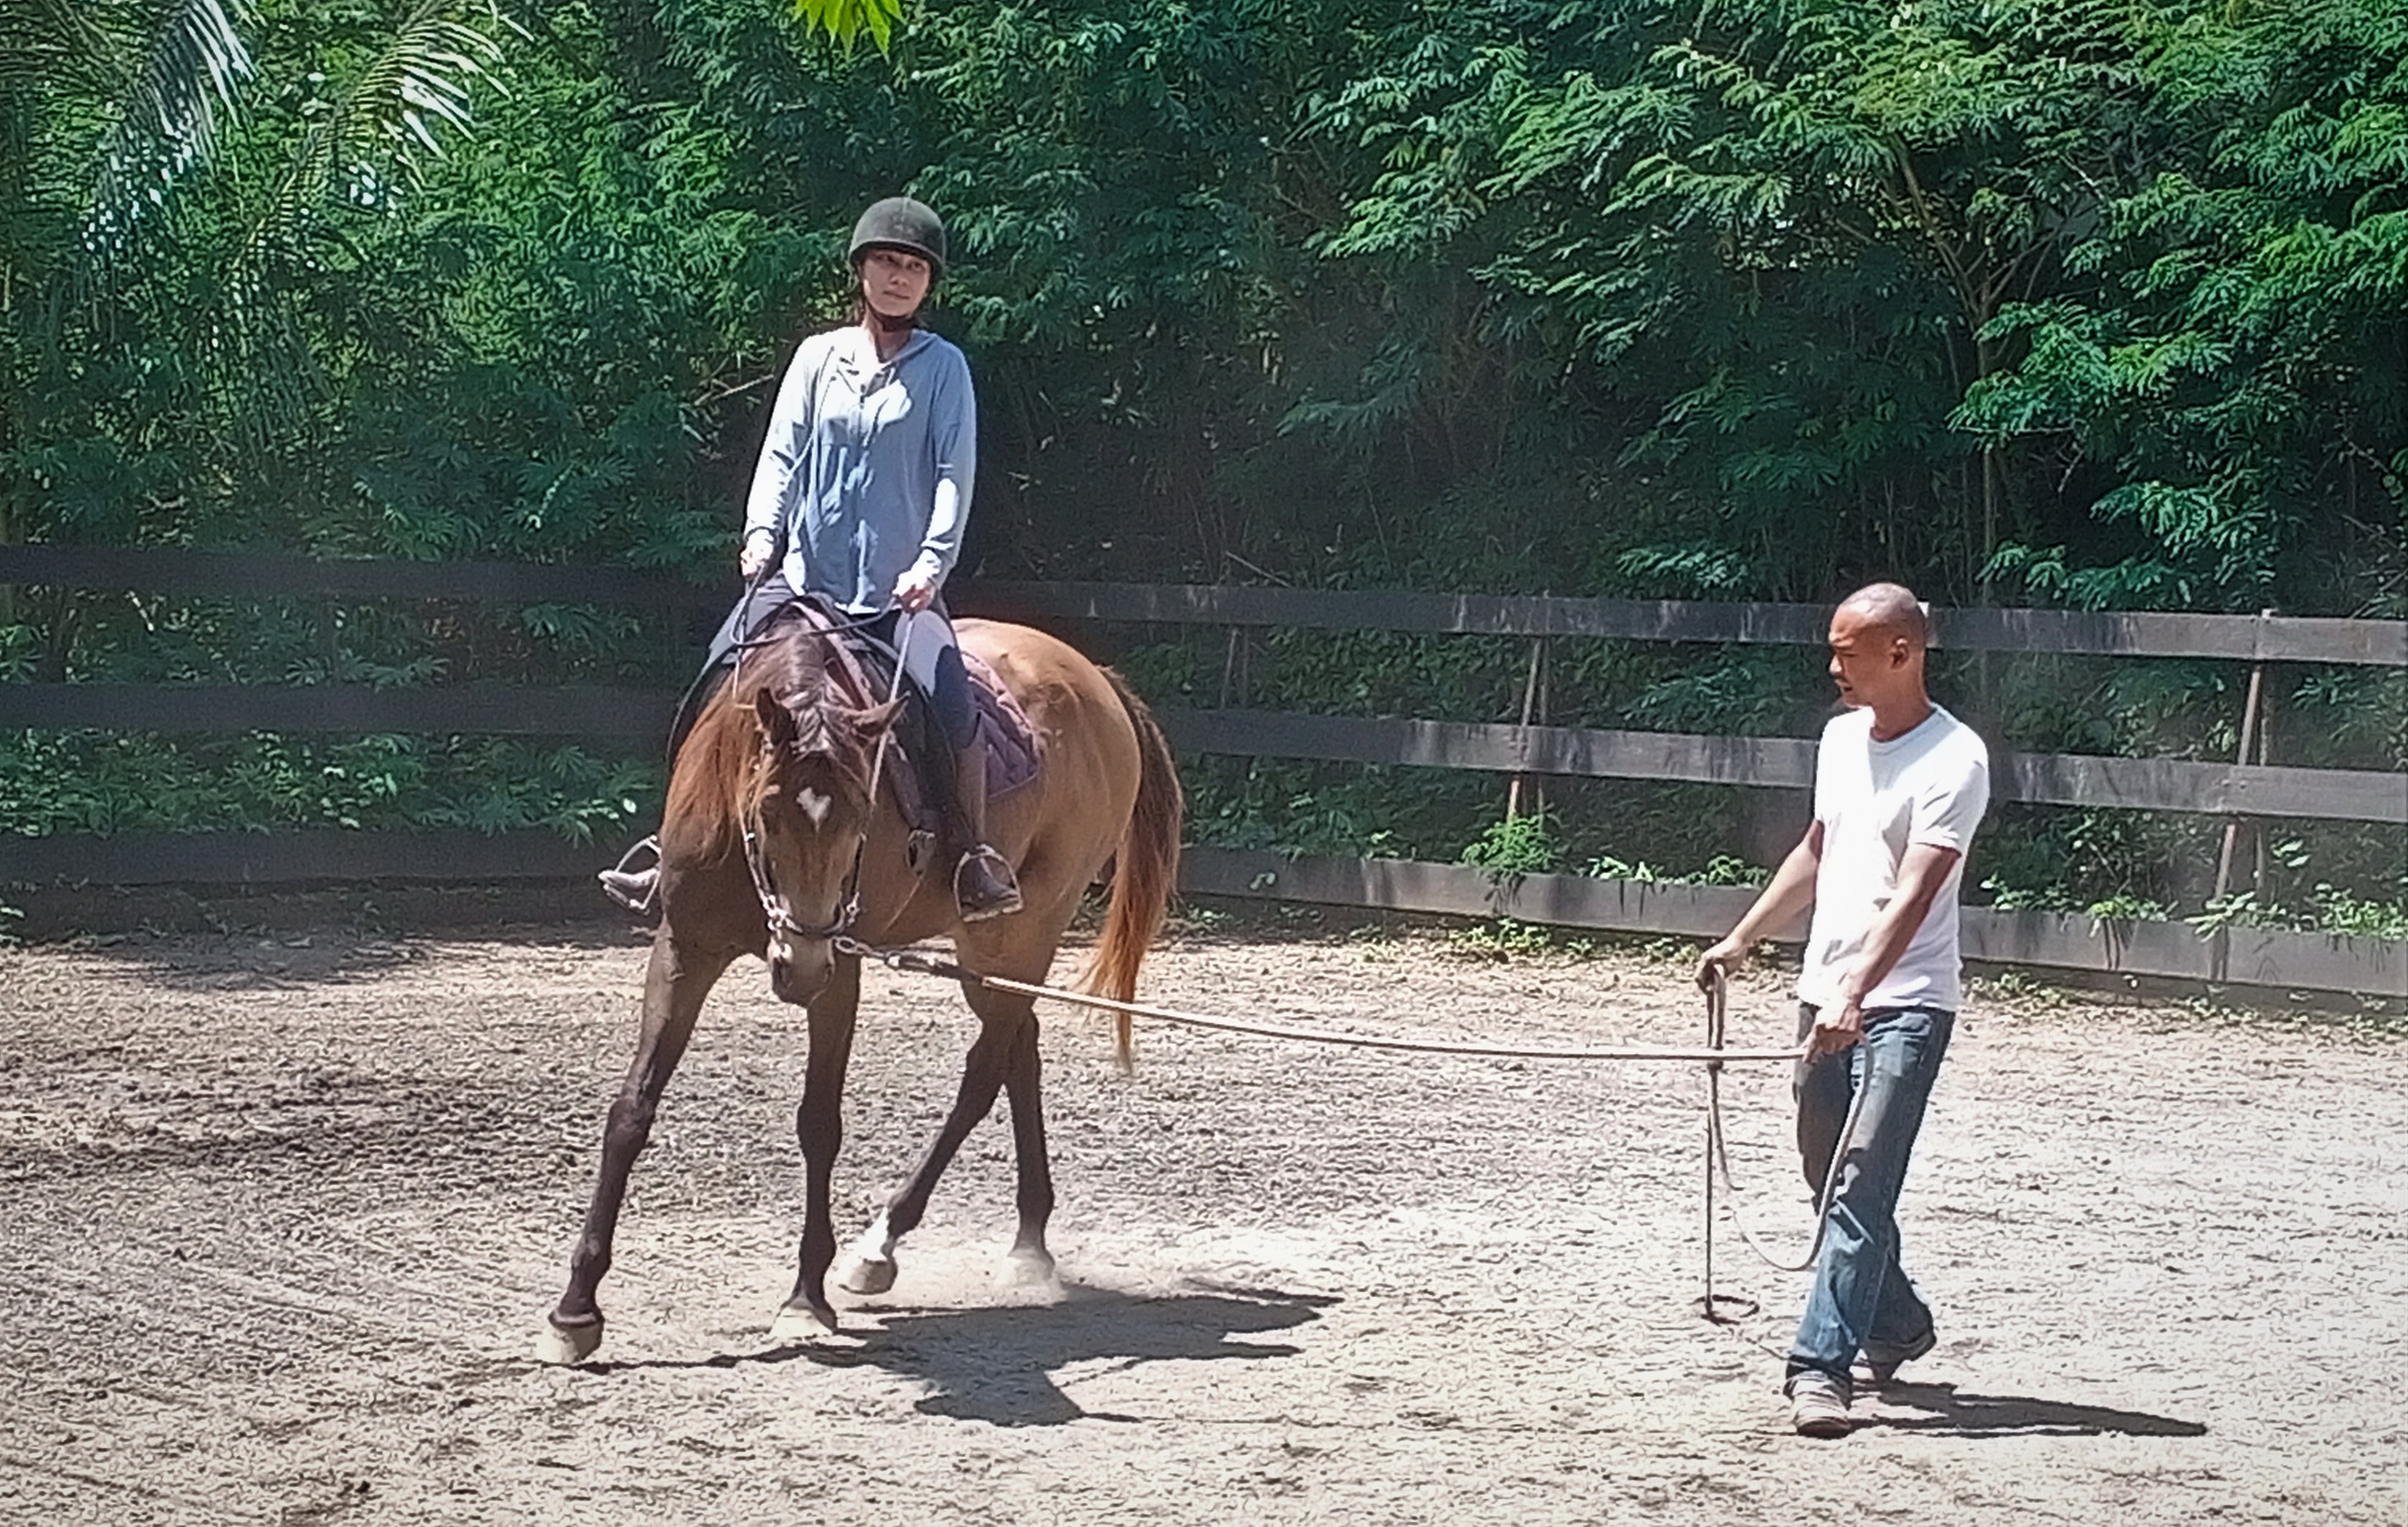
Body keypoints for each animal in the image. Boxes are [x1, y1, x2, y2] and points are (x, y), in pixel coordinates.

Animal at [542, 606, 1189, 1358]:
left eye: (861, 817)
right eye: (765, 812)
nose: (797, 963)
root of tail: (1095, 678)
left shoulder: (839, 965)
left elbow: (819, 1122)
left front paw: (805, 1298)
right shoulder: (684, 948)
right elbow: (631, 1112)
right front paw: (575, 1311)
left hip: (1024, 932)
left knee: (984, 1068)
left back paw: (881, 1244)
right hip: (989, 951)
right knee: (1018, 1050)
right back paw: (1028, 1243)